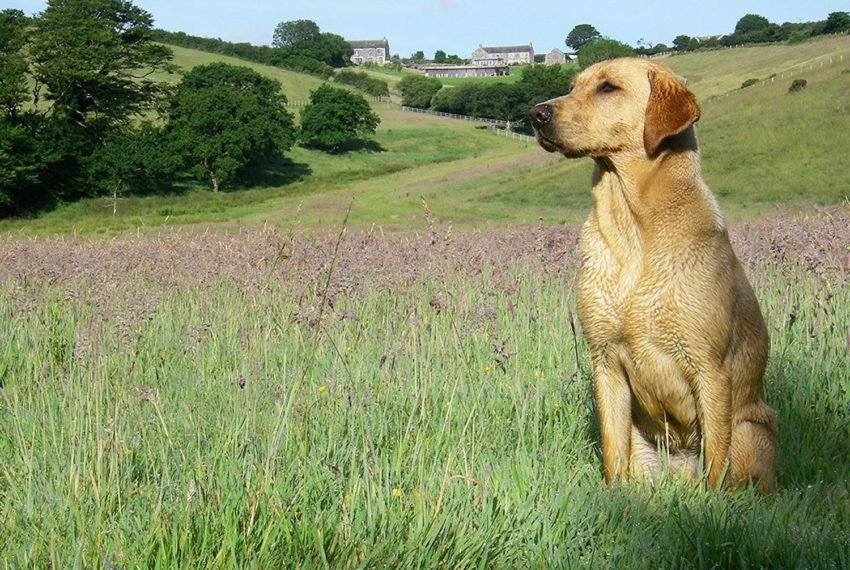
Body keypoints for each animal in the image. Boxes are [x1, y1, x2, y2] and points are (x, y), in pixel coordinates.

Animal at [528, 60, 776, 490]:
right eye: (572, 86)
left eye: (608, 88)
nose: (535, 113)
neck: (633, 229)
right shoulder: (605, 360)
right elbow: (612, 452)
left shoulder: (710, 368)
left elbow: (717, 461)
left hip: (750, 430)